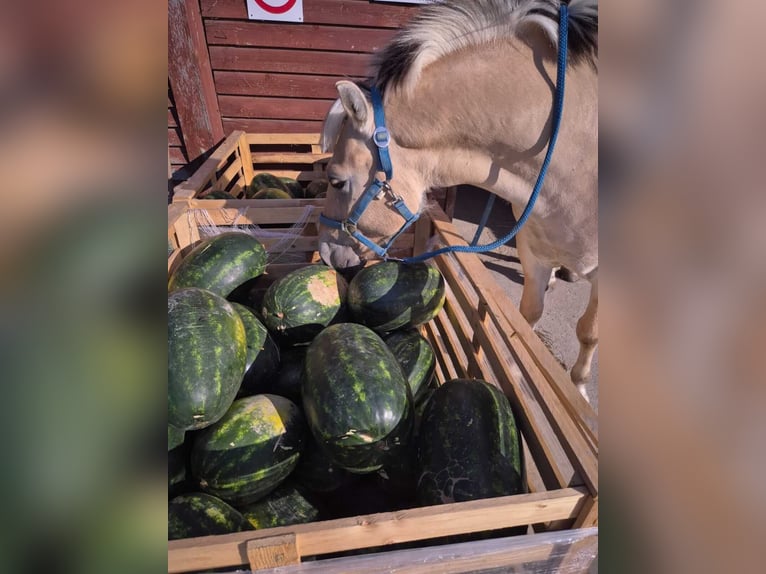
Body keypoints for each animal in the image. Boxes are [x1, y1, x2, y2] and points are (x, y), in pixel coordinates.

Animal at [317, 0, 598, 400]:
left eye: (337, 181)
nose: (325, 252)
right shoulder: (532, 251)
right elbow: (526, 321)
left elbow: (588, 332)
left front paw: (578, 387)